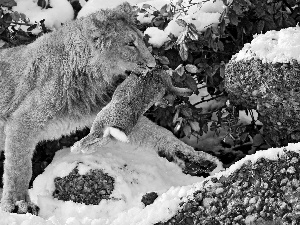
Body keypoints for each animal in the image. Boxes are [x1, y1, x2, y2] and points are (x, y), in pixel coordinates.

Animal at [0, 1, 220, 214]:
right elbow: (19, 167)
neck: (89, 78)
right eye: (130, 44)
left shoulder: (110, 112)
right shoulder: (23, 120)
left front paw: (198, 159)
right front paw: (18, 203)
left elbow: (160, 134)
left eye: (141, 40)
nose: (152, 65)